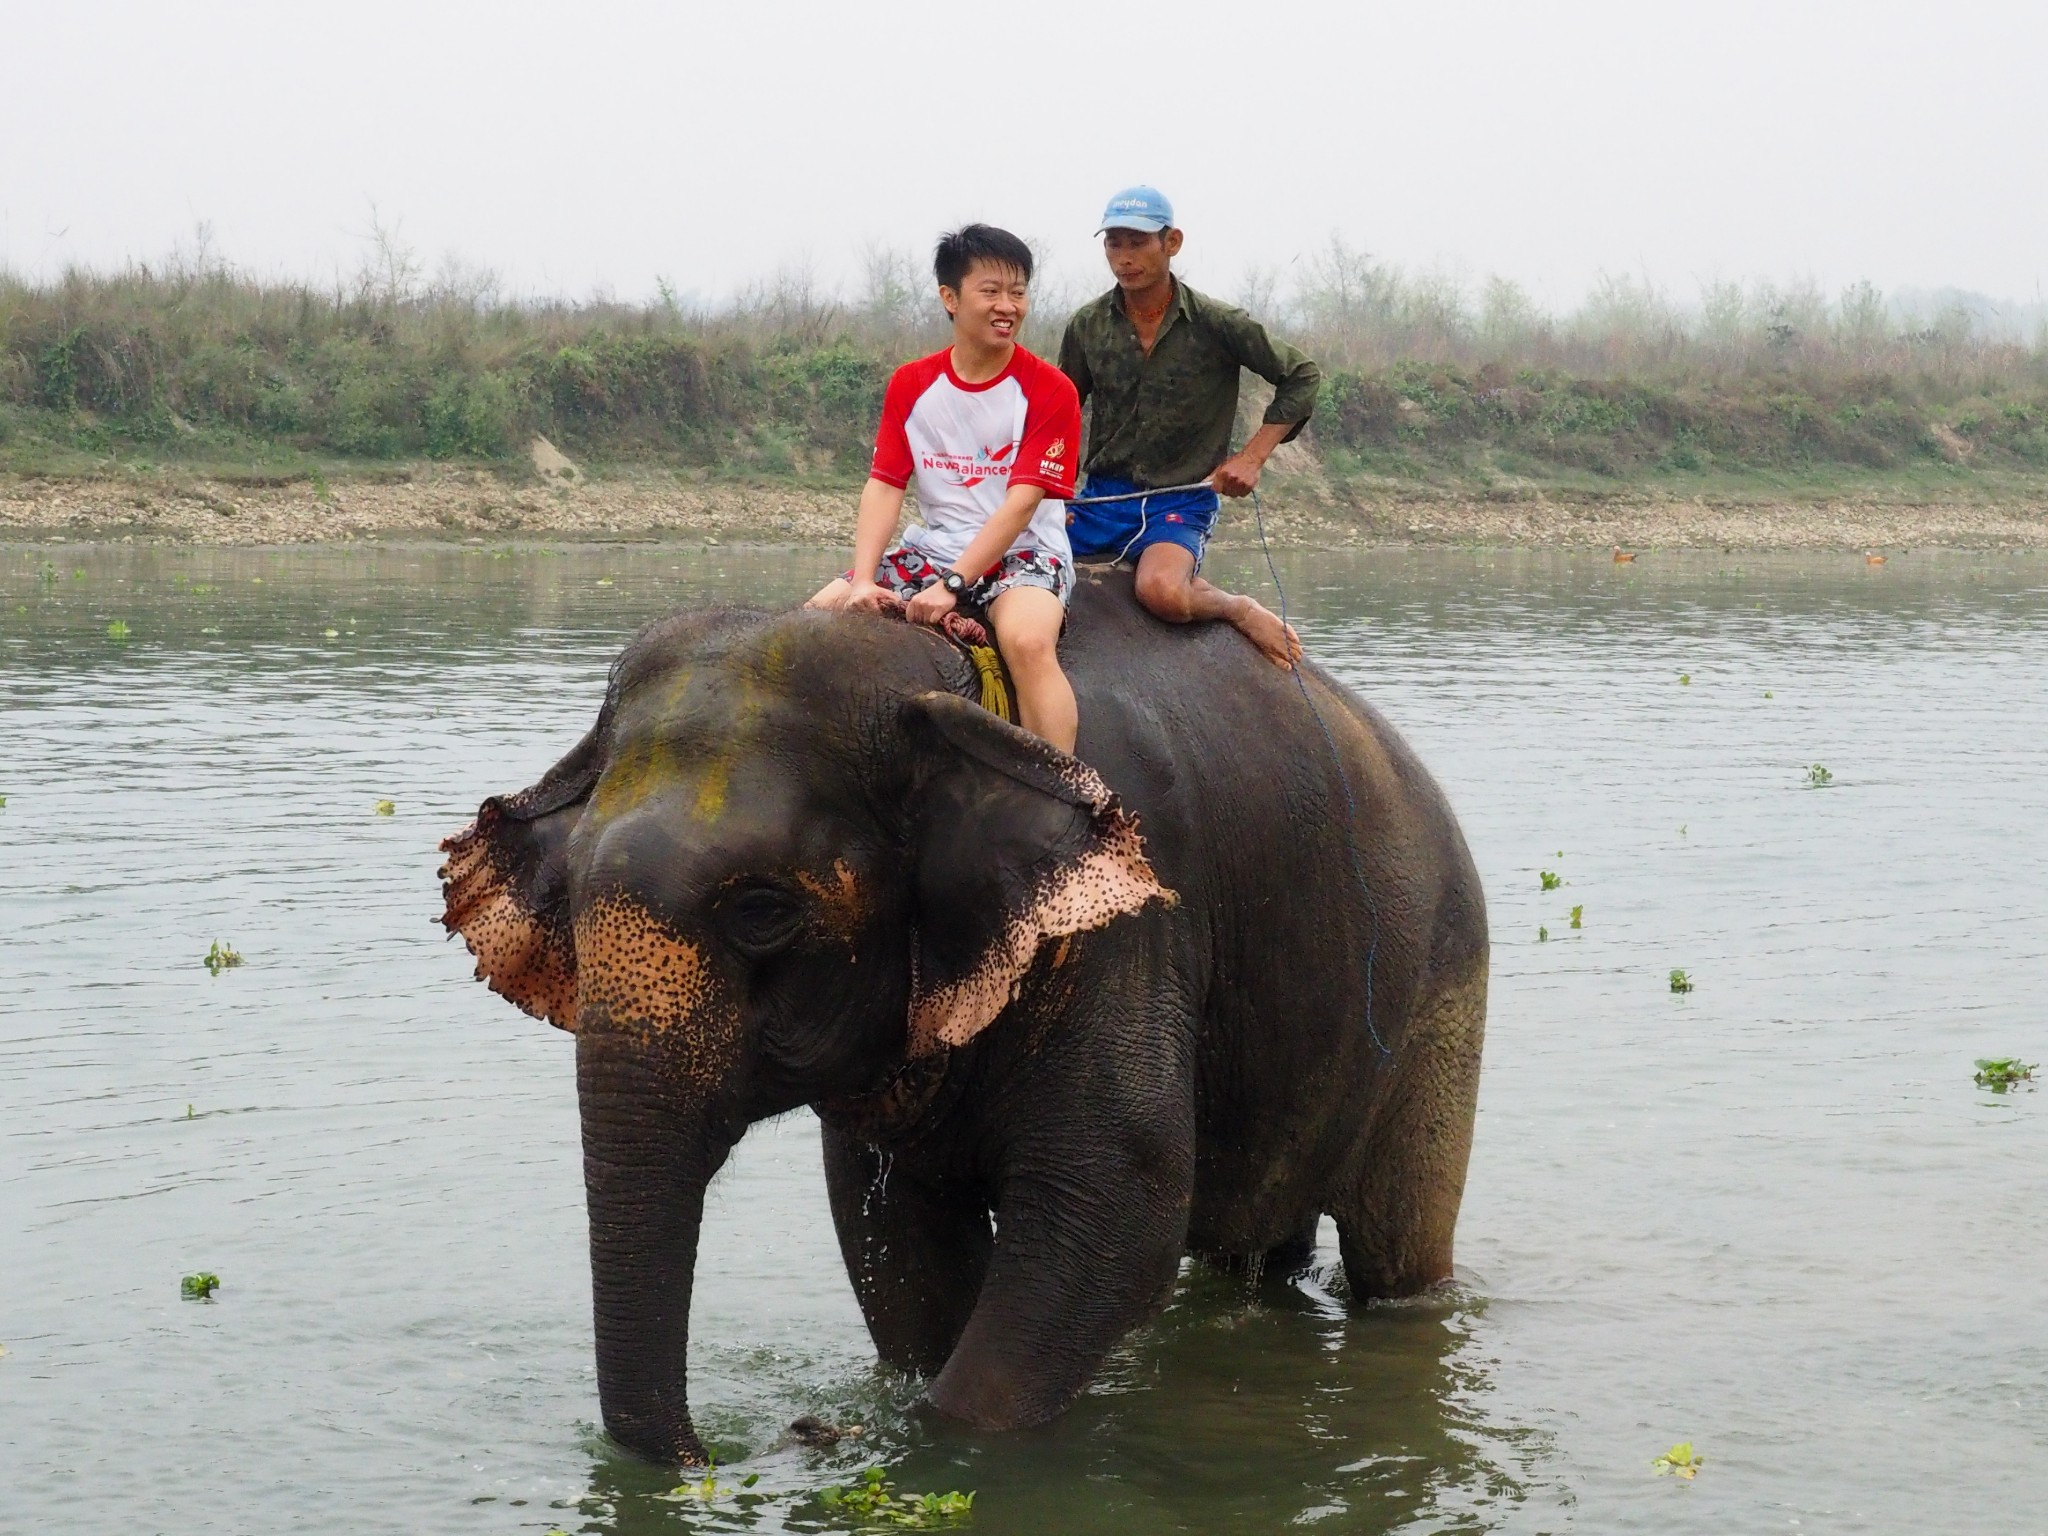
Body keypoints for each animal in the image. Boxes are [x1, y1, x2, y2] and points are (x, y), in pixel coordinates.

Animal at [436, 565, 1490, 1466]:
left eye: (763, 911)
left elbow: (1117, 1203)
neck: (936, 681)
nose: (744, 1446)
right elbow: (896, 1232)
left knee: (1395, 1248)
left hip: (1446, 987)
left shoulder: (1127, 921)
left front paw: (909, 1441)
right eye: (570, 897)